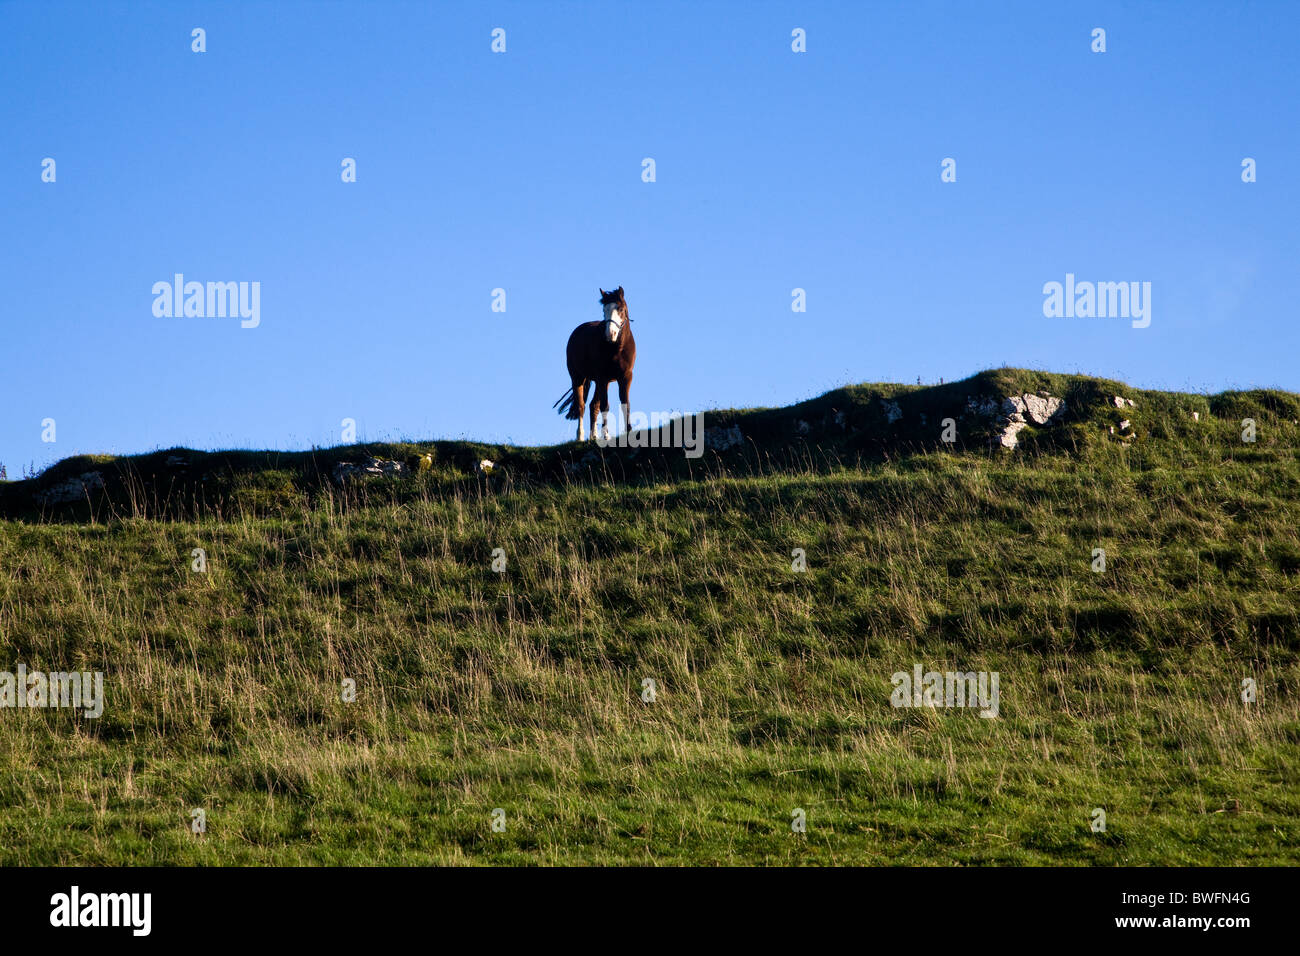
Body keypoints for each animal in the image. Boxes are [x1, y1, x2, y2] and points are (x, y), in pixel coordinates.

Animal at [551, 286, 637, 442]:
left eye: (621, 309)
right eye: (604, 310)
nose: (610, 334)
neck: (617, 348)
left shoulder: (625, 377)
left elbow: (625, 403)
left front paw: (629, 432)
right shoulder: (602, 378)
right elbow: (605, 406)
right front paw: (606, 435)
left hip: (600, 382)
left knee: (593, 406)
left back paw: (594, 436)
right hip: (578, 378)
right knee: (582, 406)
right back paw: (580, 436)